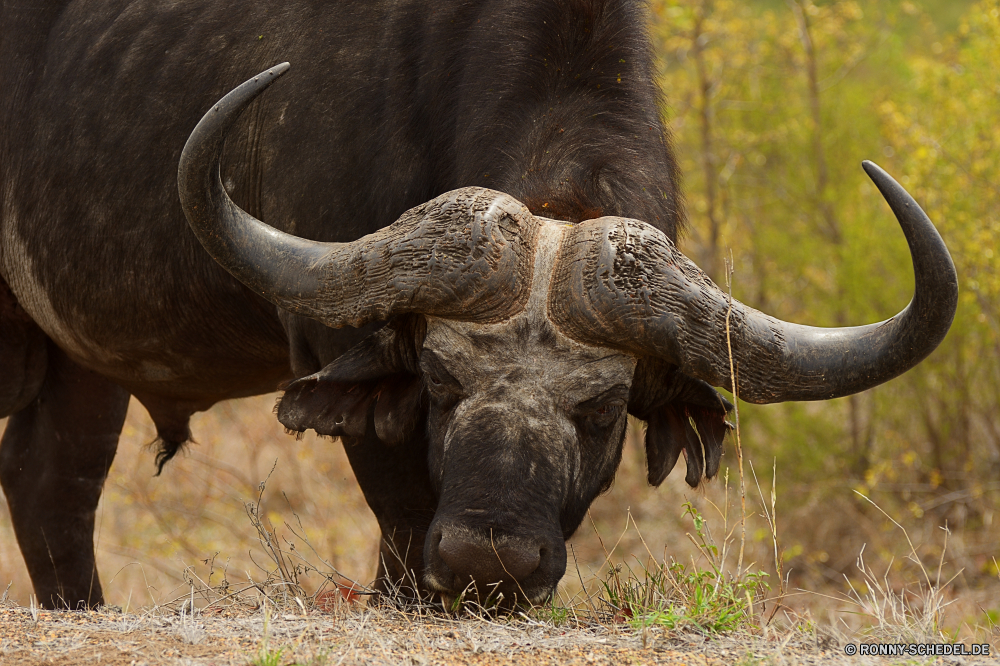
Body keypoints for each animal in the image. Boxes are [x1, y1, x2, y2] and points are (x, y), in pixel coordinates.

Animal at [0, 0, 952, 608]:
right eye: (439, 380)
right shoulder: (341, 356)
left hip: (83, 365)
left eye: (603, 409)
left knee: (51, 480)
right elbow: (399, 510)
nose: (488, 561)